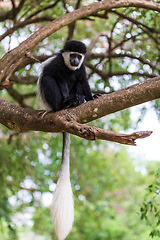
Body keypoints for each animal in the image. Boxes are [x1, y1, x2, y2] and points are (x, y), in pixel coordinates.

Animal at [37, 41, 97, 240]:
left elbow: (83, 81)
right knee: (49, 80)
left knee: (78, 84)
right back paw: (63, 104)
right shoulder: (56, 62)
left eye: (79, 56)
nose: (75, 61)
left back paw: (78, 100)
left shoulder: (82, 69)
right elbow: (51, 74)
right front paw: (63, 88)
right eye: (72, 55)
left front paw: (92, 96)